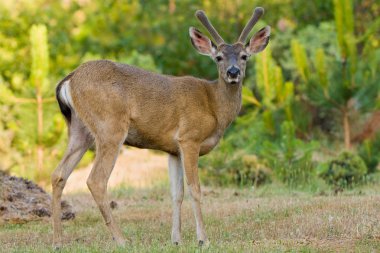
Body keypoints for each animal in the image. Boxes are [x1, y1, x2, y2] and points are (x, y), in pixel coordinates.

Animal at [51, 6, 270, 249]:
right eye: (219, 57)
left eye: (244, 56)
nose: (233, 72)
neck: (214, 105)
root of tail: (69, 80)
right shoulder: (189, 138)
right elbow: (194, 189)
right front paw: (203, 239)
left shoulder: (173, 149)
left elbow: (176, 193)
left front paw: (176, 239)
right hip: (110, 126)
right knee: (96, 180)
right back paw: (122, 239)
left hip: (79, 129)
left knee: (58, 174)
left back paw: (58, 241)